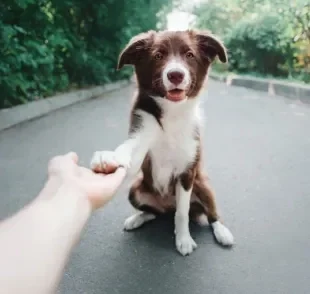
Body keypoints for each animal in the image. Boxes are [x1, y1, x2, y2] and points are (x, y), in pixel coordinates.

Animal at [91, 29, 234, 255]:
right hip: (136, 189)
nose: (175, 75)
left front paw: (183, 240)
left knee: (210, 214)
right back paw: (137, 218)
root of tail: (167, 206)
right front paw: (108, 156)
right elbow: (128, 149)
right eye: (158, 55)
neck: (172, 114)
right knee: (153, 213)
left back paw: (222, 232)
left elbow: (182, 213)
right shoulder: (141, 137)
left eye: (189, 55)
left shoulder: (187, 172)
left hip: (203, 185)